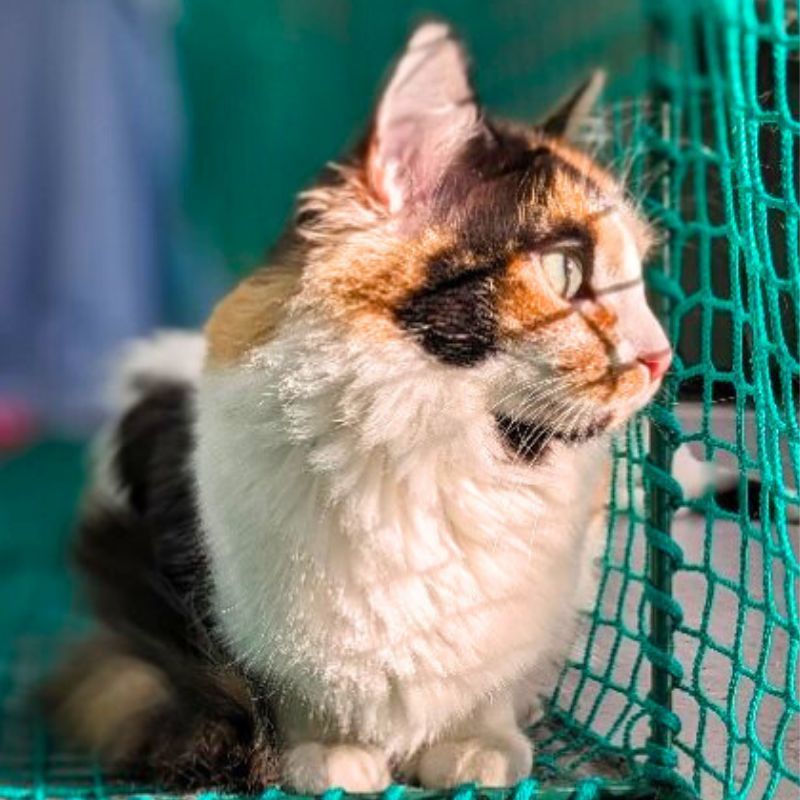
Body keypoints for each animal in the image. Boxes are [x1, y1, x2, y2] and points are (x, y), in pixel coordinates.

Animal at [43, 23, 672, 792]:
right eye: (564, 270)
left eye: (638, 278)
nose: (662, 355)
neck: (438, 459)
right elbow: (299, 694)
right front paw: (331, 755)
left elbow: (490, 688)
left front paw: (478, 746)